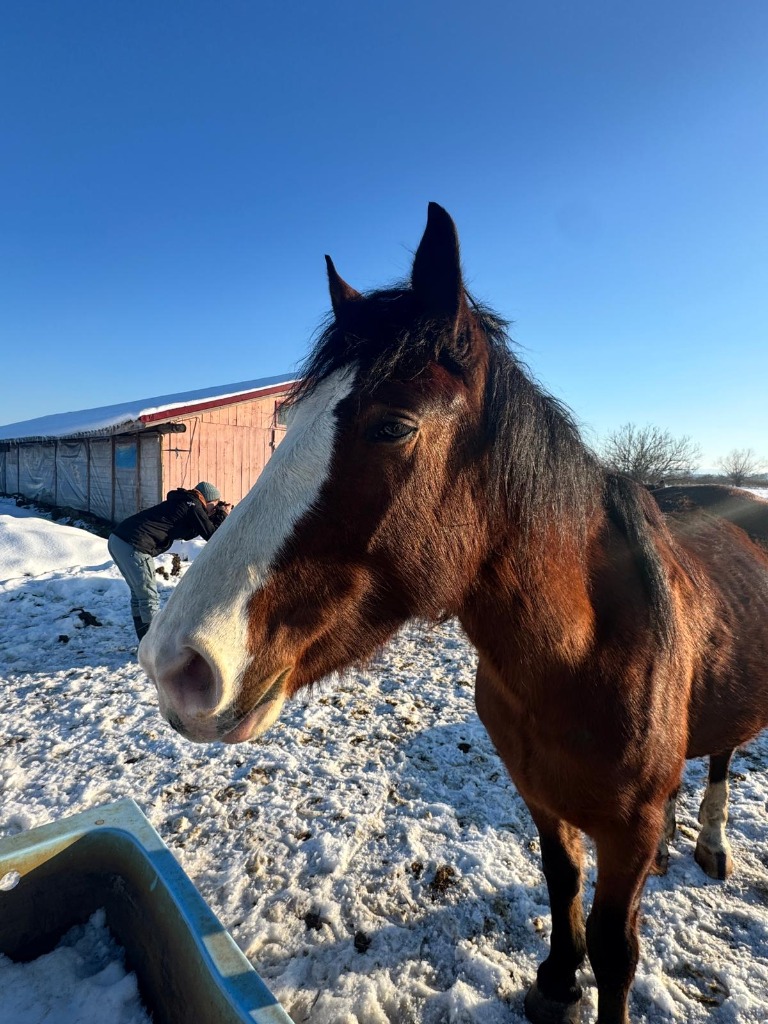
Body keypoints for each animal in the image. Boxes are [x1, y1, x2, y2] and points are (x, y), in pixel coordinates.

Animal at [139, 204, 768, 1024]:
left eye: (393, 426)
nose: (175, 665)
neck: (585, 657)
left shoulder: (626, 830)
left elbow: (616, 949)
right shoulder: (542, 797)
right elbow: (563, 883)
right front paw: (555, 983)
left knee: (724, 756)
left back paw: (714, 843)